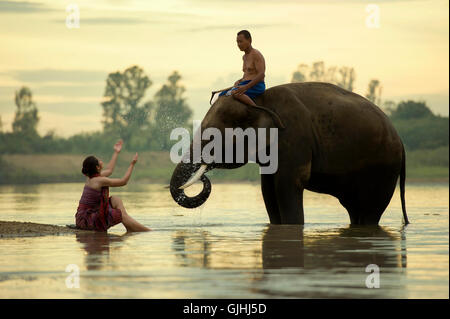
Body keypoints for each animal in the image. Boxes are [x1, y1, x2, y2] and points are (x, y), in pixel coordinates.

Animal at [168, 82, 408, 228]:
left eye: (212, 138)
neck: (260, 102)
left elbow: (286, 184)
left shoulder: (294, 138)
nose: (202, 176)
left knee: (369, 212)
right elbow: (268, 189)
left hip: (383, 171)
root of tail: (400, 139)